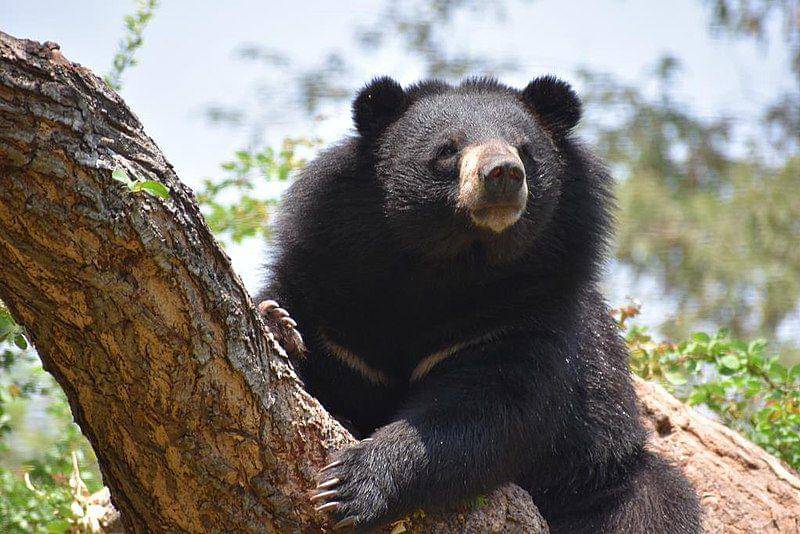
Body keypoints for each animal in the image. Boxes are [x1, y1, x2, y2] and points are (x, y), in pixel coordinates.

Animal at [256, 76, 701, 533]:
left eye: (525, 149)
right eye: (447, 150)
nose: (503, 173)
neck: (452, 263)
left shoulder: (523, 313)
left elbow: (492, 410)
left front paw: (349, 486)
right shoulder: (328, 285)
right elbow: (314, 350)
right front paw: (278, 325)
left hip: (603, 470)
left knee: (651, 502)